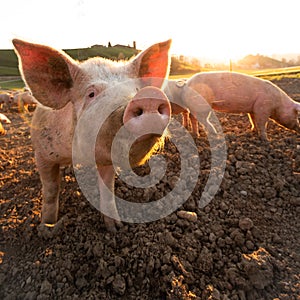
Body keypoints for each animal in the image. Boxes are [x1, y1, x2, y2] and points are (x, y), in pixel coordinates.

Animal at [12, 38, 172, 232]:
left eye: (135, 89)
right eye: (91, 94)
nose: (148, 97)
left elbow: (108, 189)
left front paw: (115, 228)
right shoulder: (42, 153)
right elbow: (50, 189)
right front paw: (47, 226)